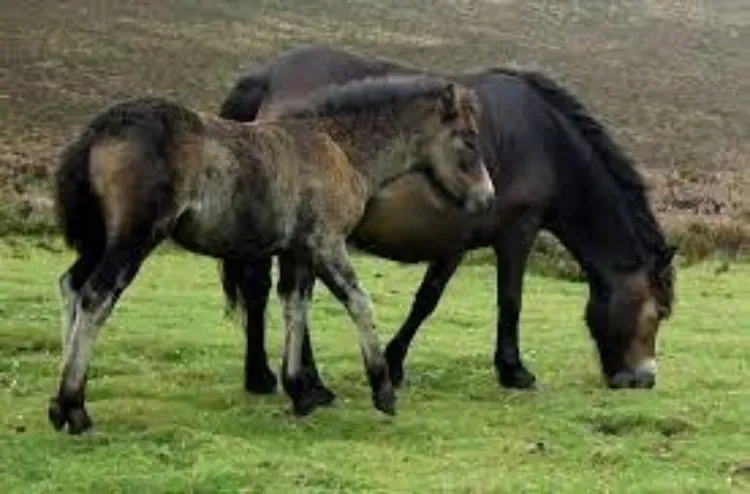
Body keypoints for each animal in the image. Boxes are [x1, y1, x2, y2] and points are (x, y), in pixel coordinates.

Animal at [51, 75, 500, 434]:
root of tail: (100, 128)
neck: (339, 146)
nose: (487, 198)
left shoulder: (297, 251)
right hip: (134, 238)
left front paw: (300, 391)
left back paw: (59, 404)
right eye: (468, 139)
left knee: (72, 285)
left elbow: (294, 307)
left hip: (101, 239)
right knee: (96, 296)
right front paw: (383, 390)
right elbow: (358, 302)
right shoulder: (326, 243)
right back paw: (75, 410)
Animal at [217, 41, 680, 398]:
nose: (643, 379)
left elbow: (427, 300)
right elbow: (509, 300)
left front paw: (394, 363)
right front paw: (514, 371)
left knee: (265, 291)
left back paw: (263, 377)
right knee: (284, 293)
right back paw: (304, 381)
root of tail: (265, 78)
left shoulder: (454, 242)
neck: (548, 146)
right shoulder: (518, 233)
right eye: (658, 311)